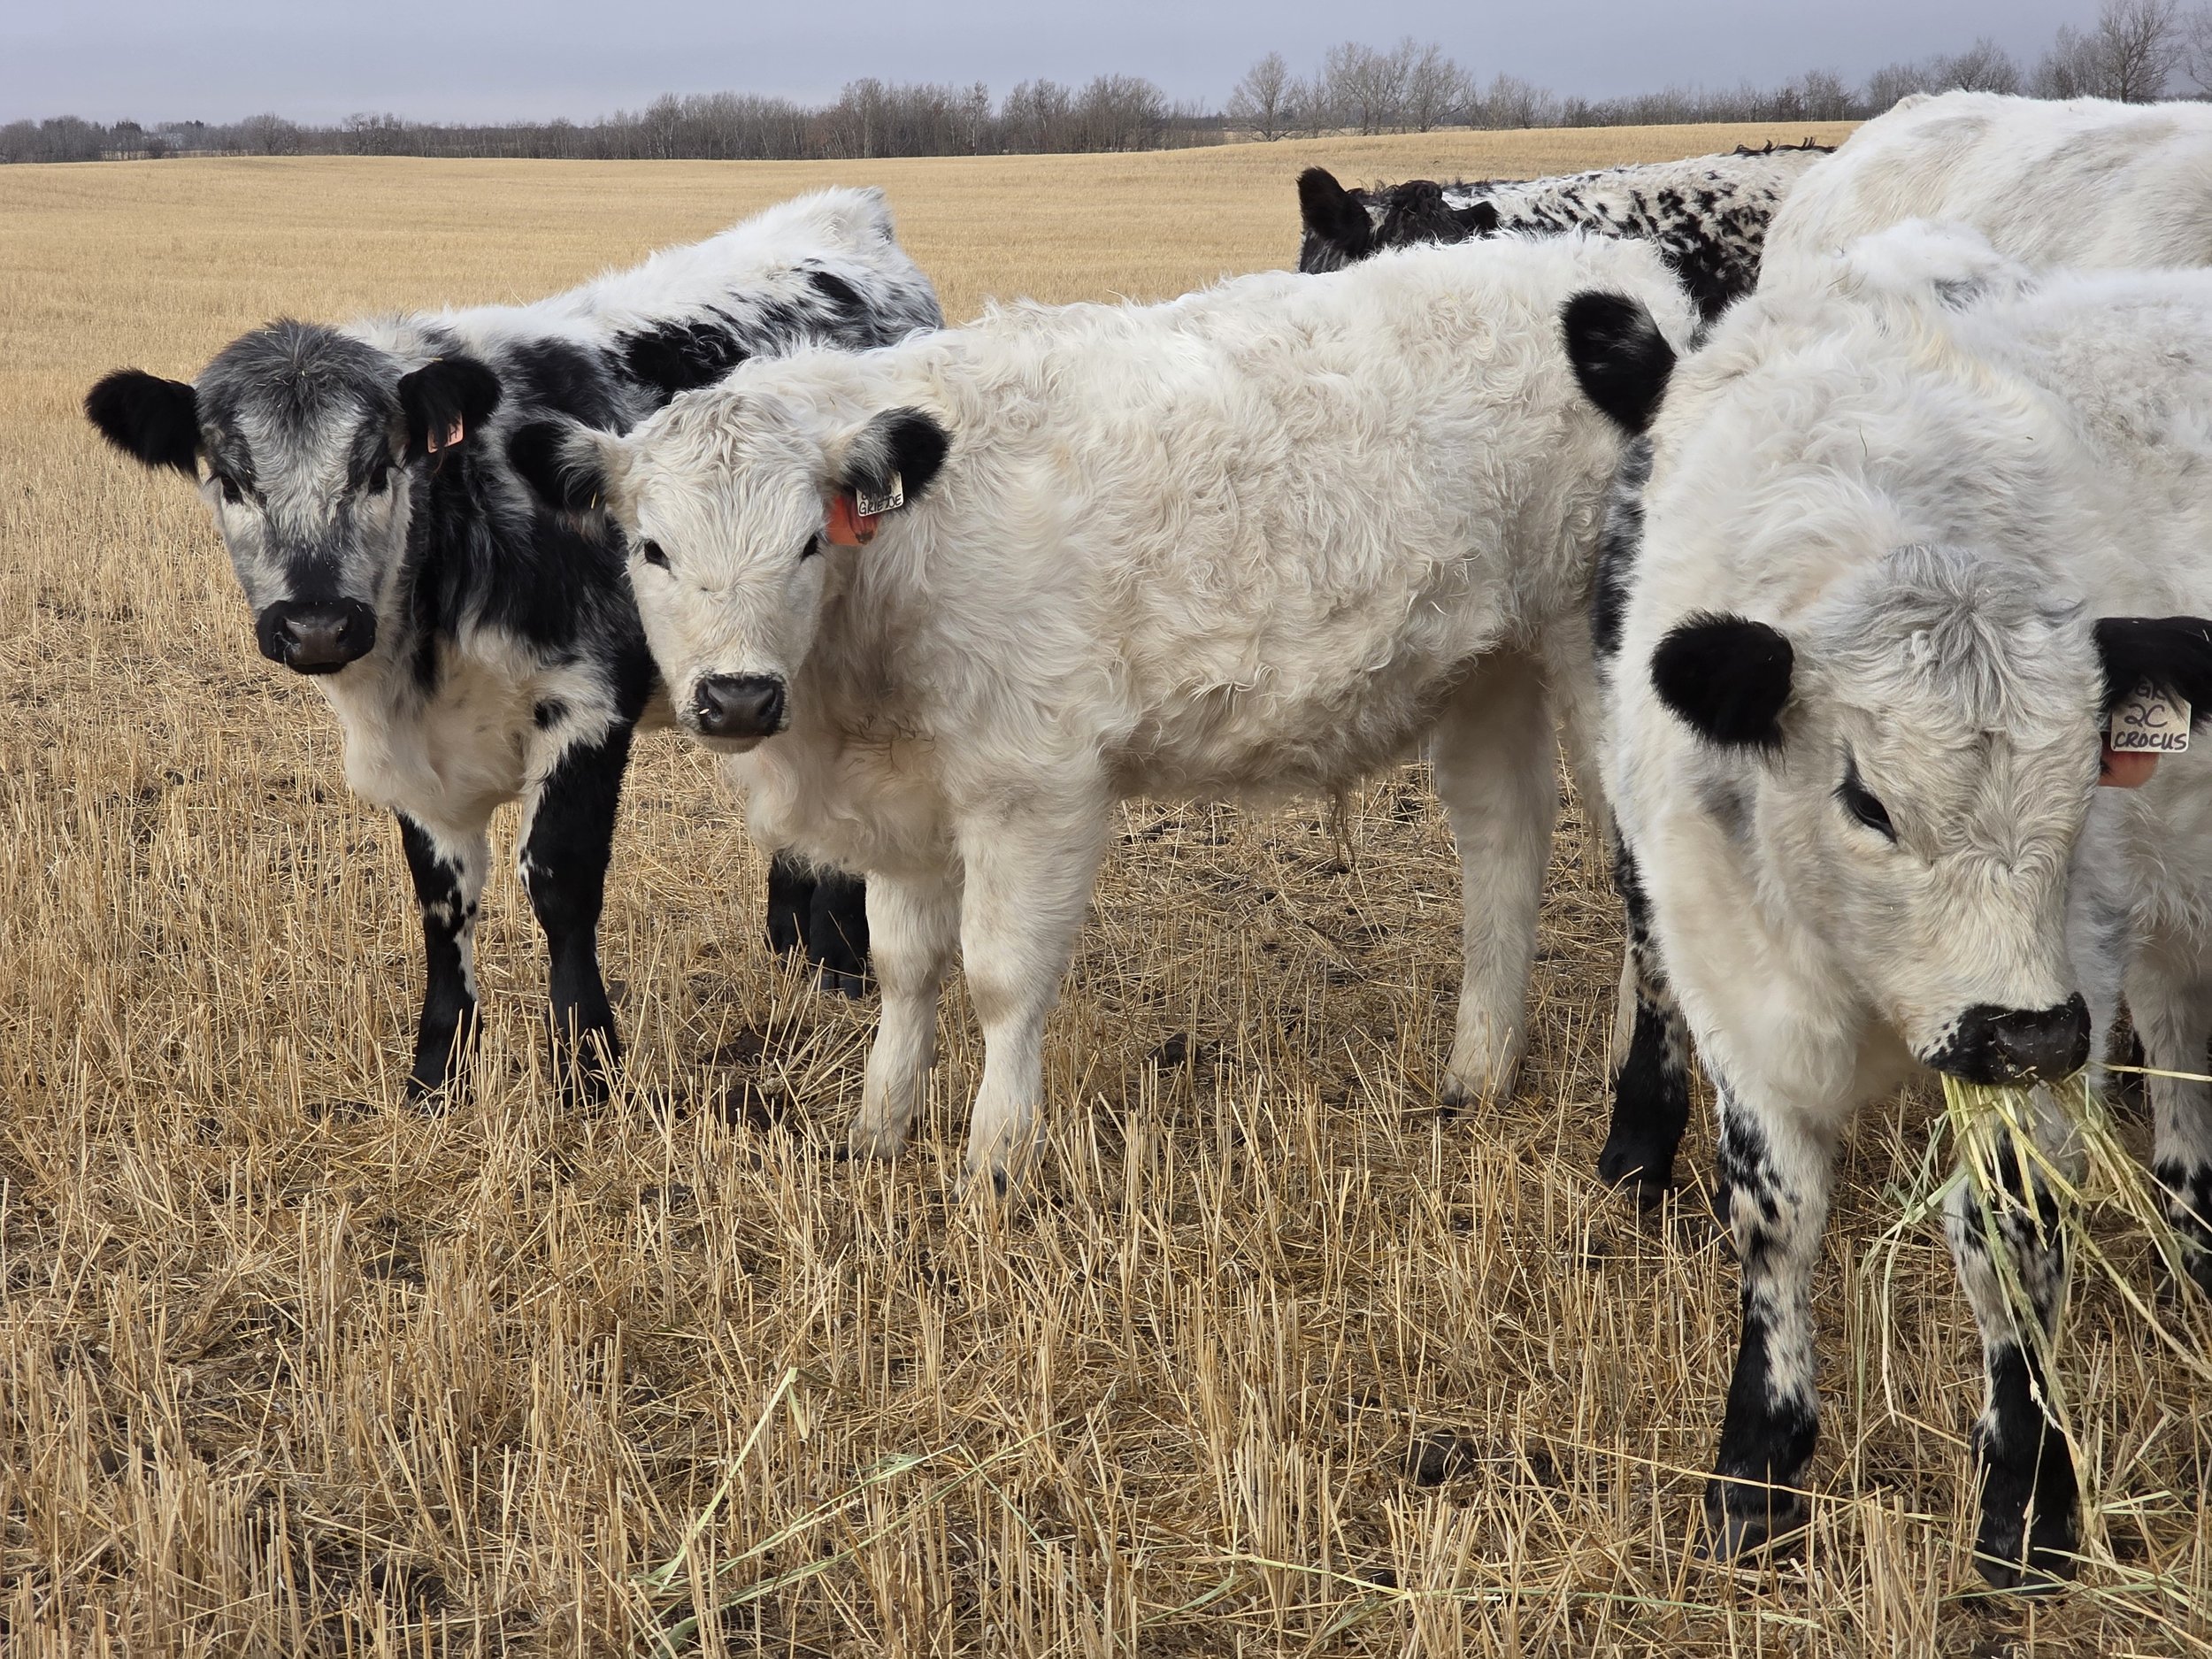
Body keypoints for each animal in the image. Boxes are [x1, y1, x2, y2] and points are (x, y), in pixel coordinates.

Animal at [84, 188, 942, 1107]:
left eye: (379, 467)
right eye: (232, 480)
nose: (317, 625)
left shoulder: (586, 704)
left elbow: (560, 880)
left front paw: (587, 1063)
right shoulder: (414, 755)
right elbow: (441, 898)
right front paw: (438, 1068)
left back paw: (840, 960)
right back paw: (790, 938)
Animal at [505, 233, 1699, 1191]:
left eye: (807, 541)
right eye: (650, 547)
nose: (738, 694)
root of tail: (1611, 266)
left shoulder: (1031, 784)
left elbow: (999, 978)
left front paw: (993, 1157)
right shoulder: (908, 803)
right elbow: (904, 967)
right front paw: (879, 1127)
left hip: (1587, 661)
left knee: (1634, 868)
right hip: (1489, 666)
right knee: (1504, 838)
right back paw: (1478, 1068)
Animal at [1560, 220, 2212, 1588]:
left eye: (2083, 778)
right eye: (1865, 798)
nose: (2024, 1031)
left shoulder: (2070, 973)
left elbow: (2011, 1224)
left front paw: (2029, 1495)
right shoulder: (1733, 986)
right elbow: (1773, 1215)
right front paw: (1756, 1468)